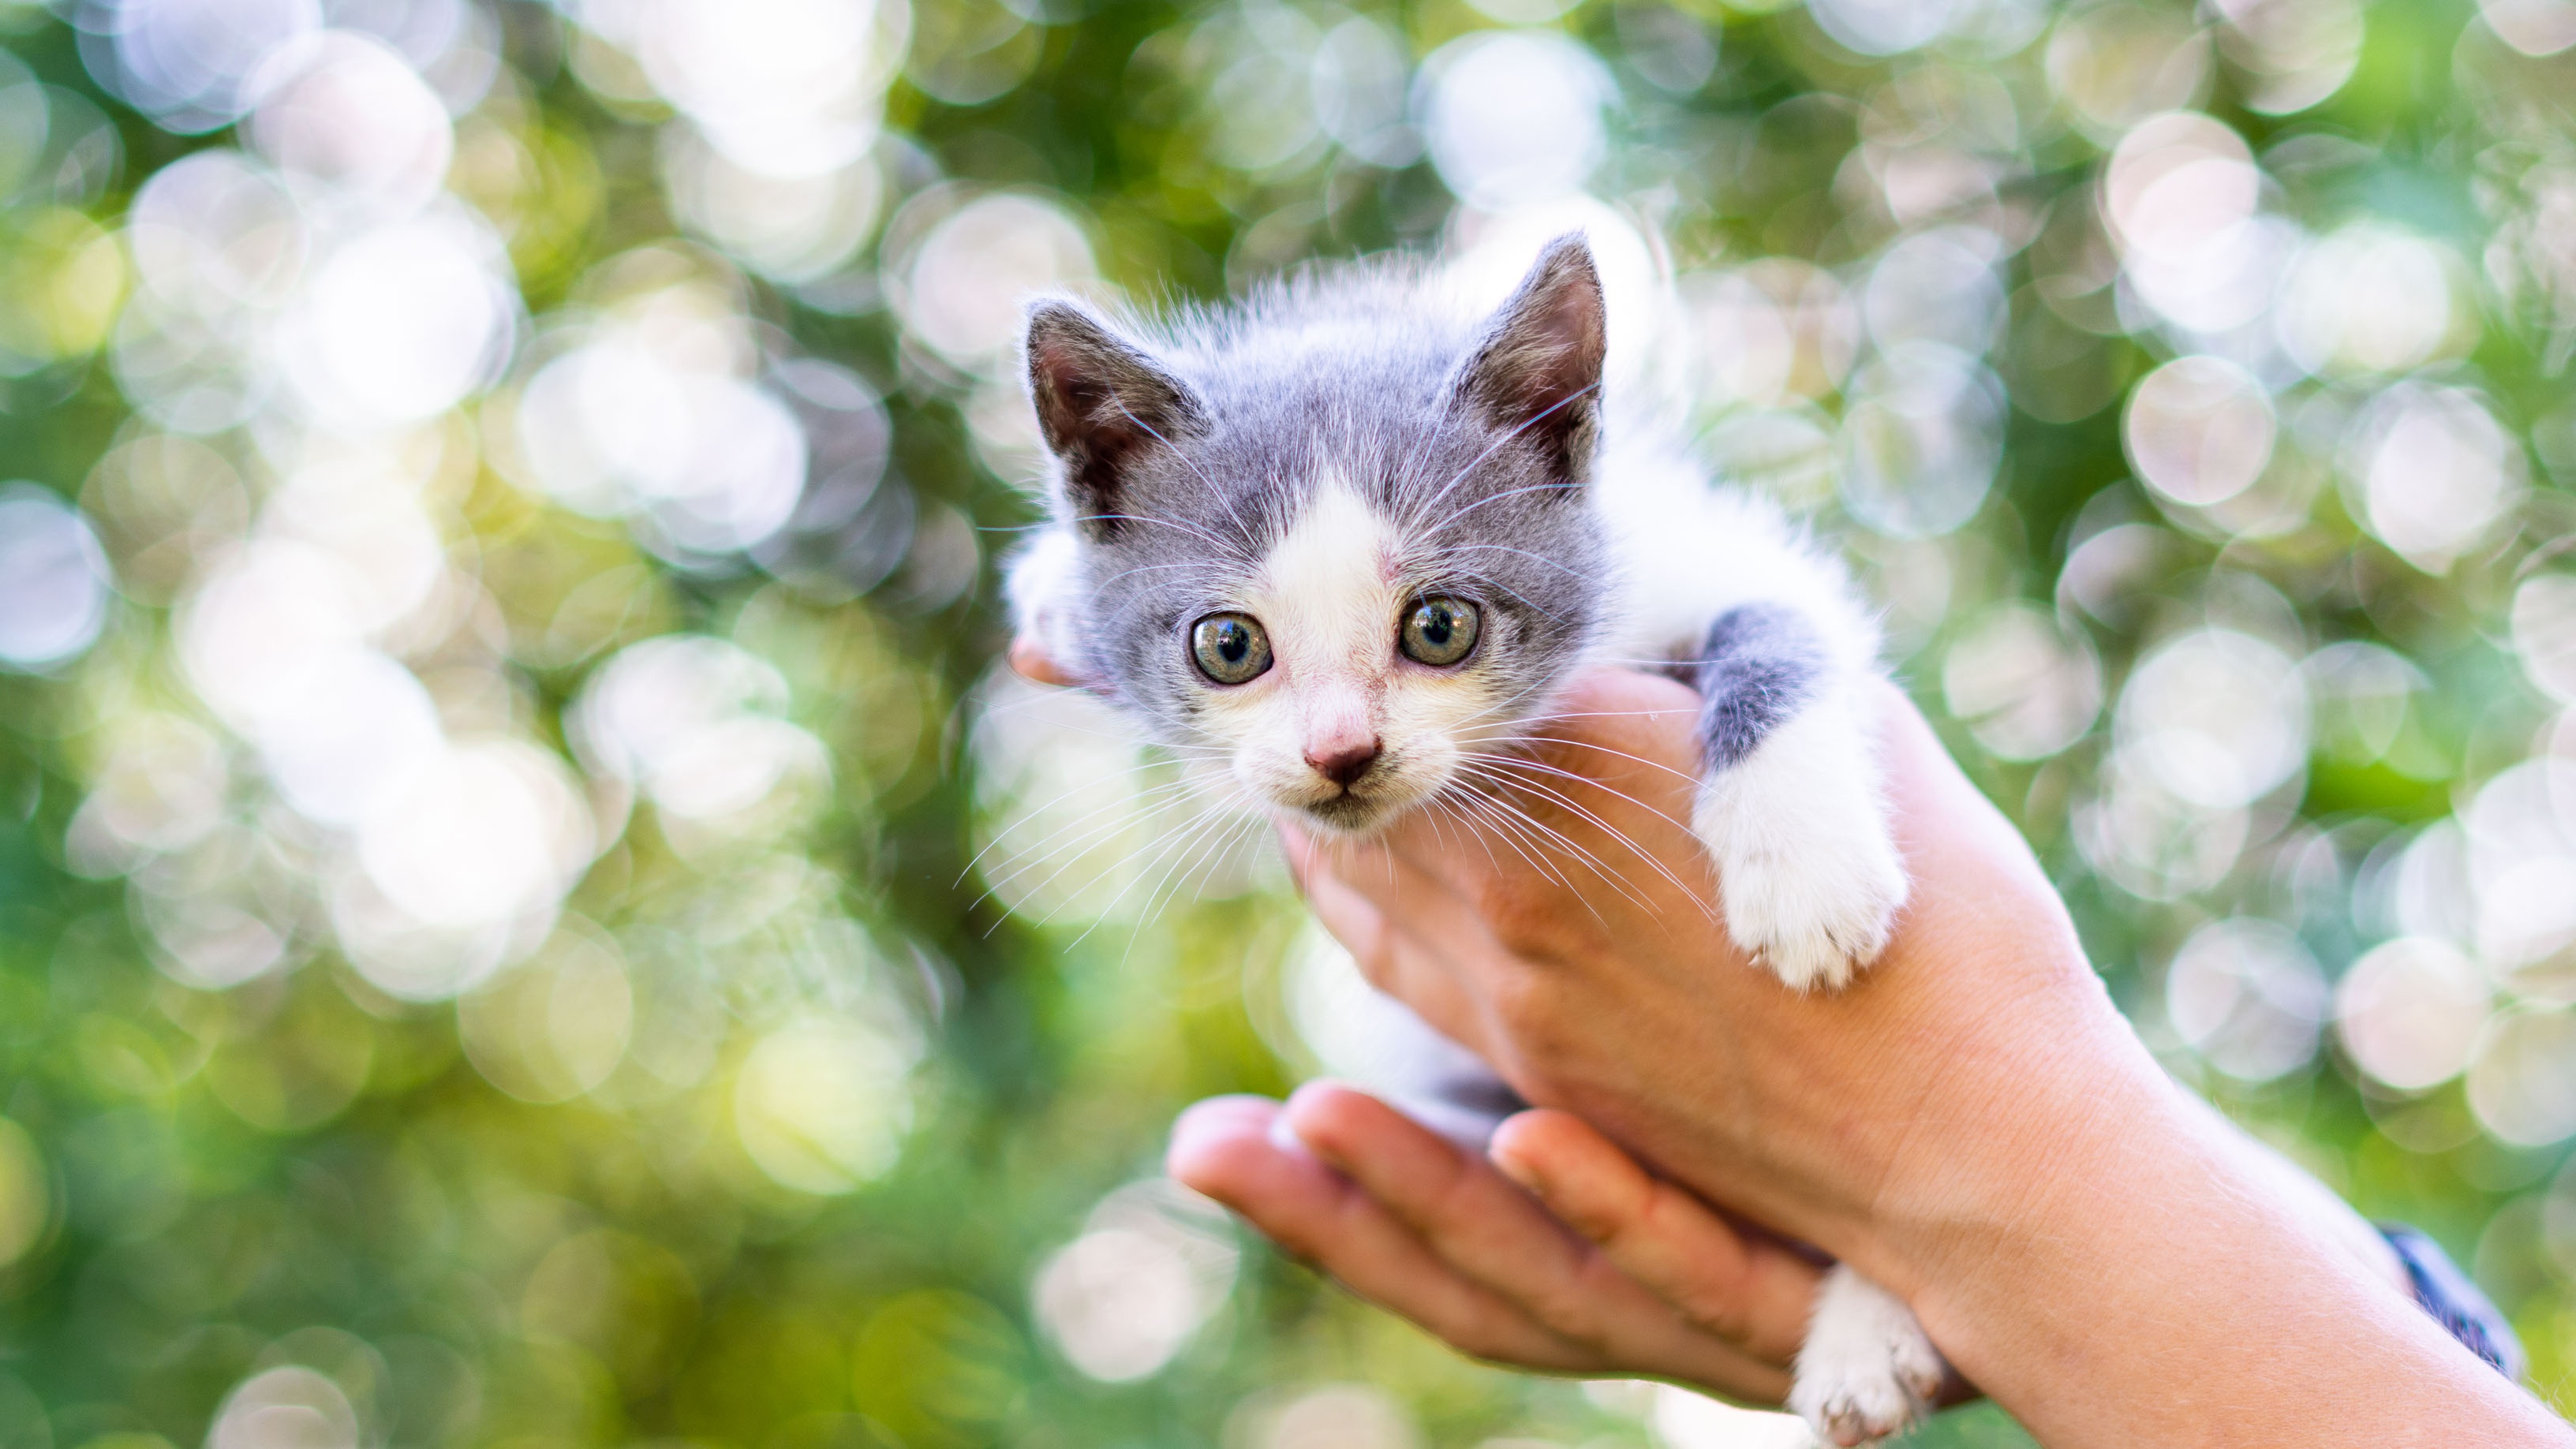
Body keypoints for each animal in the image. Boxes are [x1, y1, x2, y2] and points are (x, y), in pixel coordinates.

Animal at [1004, 233, 1937, 1441]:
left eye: (1440, 626)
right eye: (1228, 645)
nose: (1341, 751)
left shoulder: (1695, 549)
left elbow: (1780, 625)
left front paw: (1803, 867)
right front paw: (1050, 585)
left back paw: (1868, 1338)